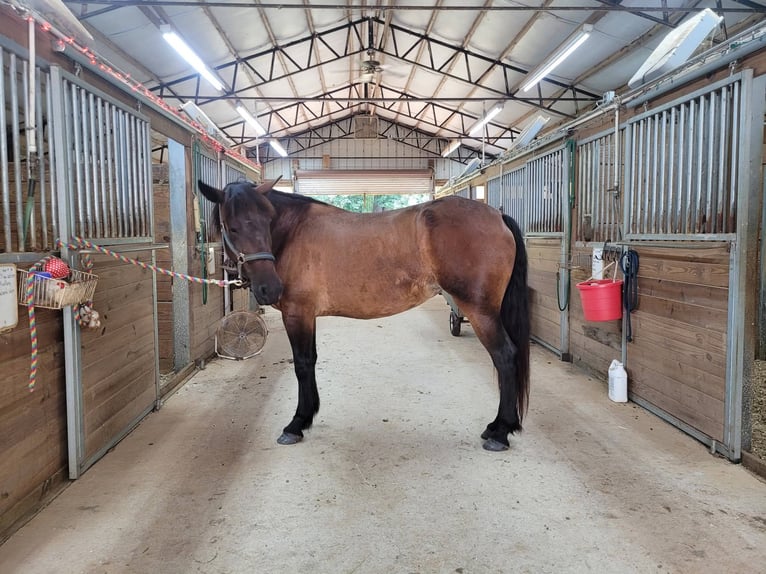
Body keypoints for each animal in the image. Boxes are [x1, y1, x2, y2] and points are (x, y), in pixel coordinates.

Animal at [198, 179, 530, 451]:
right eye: (232, 226)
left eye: (267, 220)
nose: (269, 288)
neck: (293, 232)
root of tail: (497, 215)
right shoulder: (307, 316)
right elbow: (311, 360)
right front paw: (309, 415)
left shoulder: (297, 313)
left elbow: (302, 364)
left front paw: (296, 424)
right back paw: (497, 427)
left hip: (481, 311)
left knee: (504, 356)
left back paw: (500, 432)